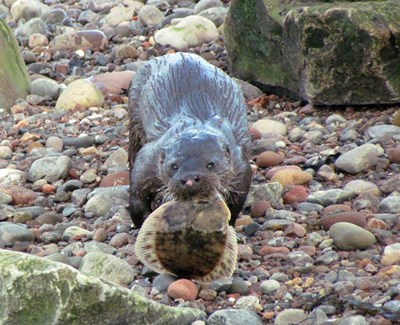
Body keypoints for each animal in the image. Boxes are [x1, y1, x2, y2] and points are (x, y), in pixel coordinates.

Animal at [128, 52, 252, 228]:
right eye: (174, 166)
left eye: (210, 164)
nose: (190, 179)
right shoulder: (148, 159)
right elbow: (137, 196)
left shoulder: (240, 167)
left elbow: (235, 204)